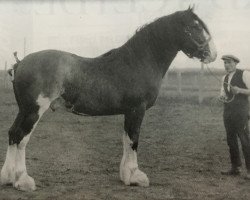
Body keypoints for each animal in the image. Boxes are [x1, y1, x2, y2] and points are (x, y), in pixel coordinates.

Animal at [0, 7, 217, 191]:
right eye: (195, 27)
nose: (213, 54)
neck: (138, 61)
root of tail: (20, 64)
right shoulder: (137, 109)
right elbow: (133, 140)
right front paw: (135, 177)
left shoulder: (129, 112)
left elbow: (126, 139)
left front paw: (125, 175)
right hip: (34, 110)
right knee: (21, 137)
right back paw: (23, 181)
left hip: (24, 109)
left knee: (12, 133)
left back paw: (8, 178)